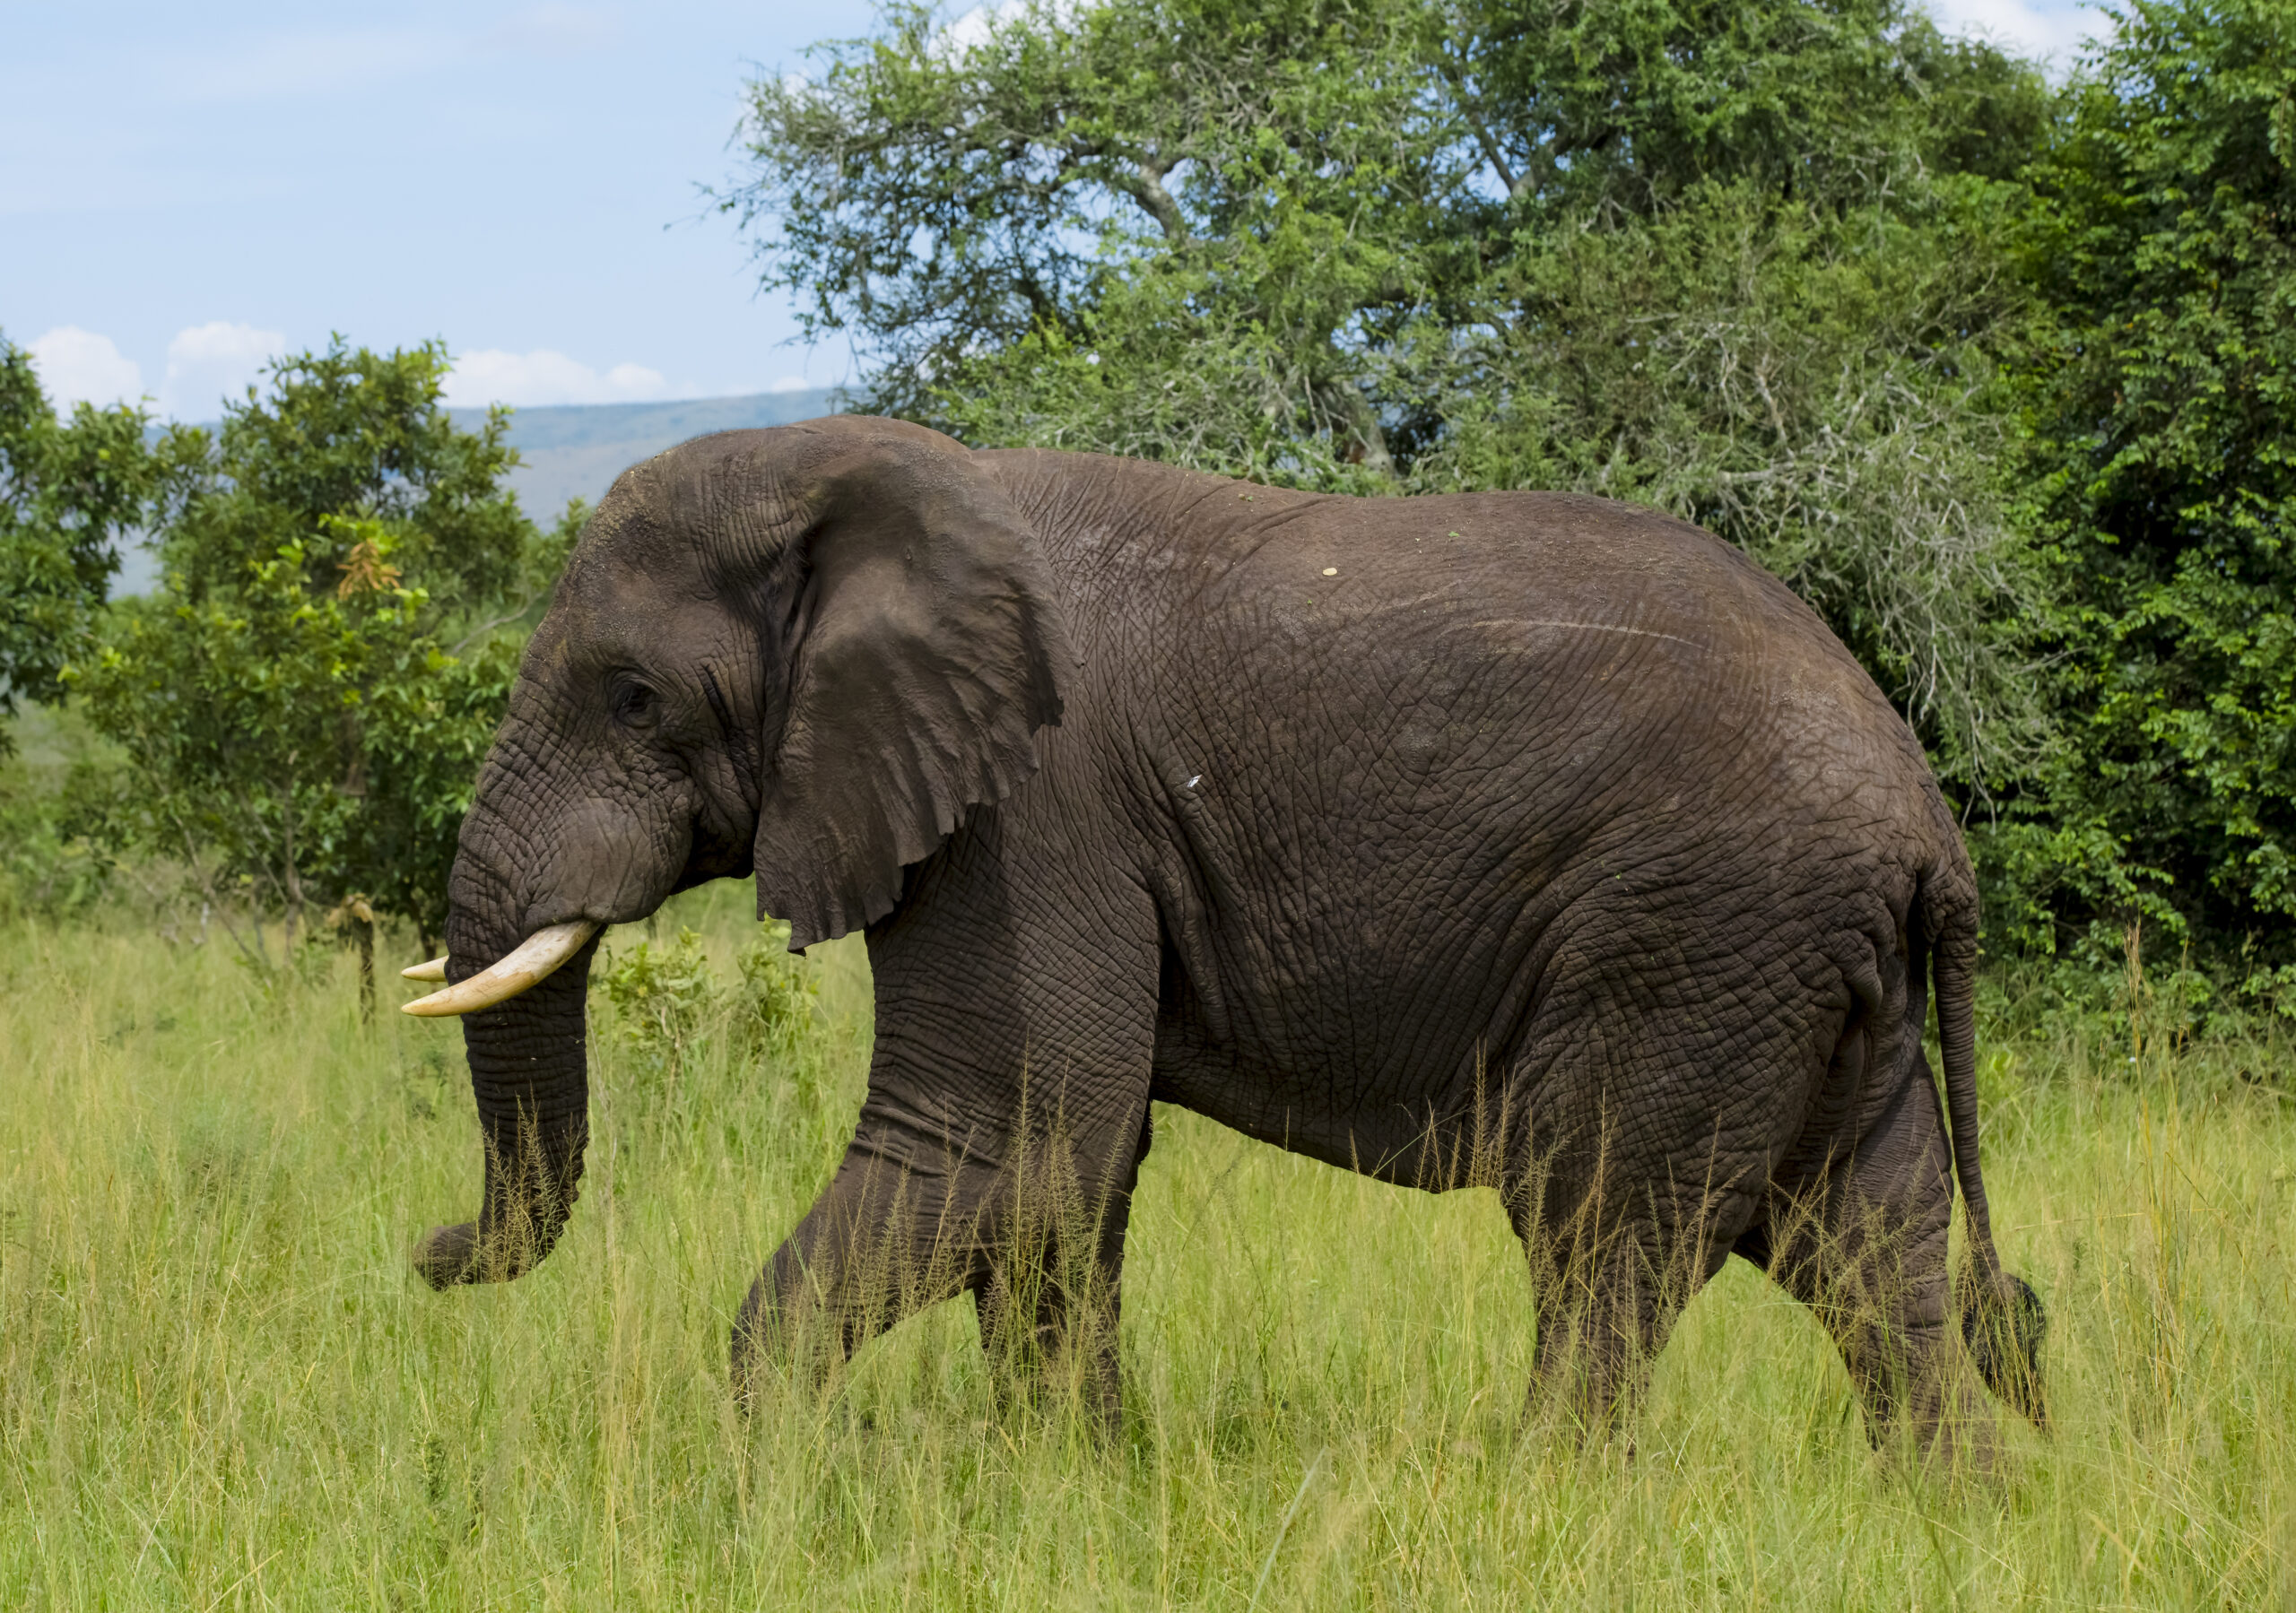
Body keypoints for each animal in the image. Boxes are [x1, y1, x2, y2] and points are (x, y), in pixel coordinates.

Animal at [404, 412, 2057, 1468]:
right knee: (1869, 1248)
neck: (868, 473)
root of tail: (1930, 818)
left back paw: (1540, 1499)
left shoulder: (1036, 805)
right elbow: (1070, 1175)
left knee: (1599, 1232)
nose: (425, 1254)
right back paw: (1953, 1510)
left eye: (631, 697)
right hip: (1807, 968)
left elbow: (997, 1145)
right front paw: (1072, 1483)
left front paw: (772, 1488)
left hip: (1697, 932)